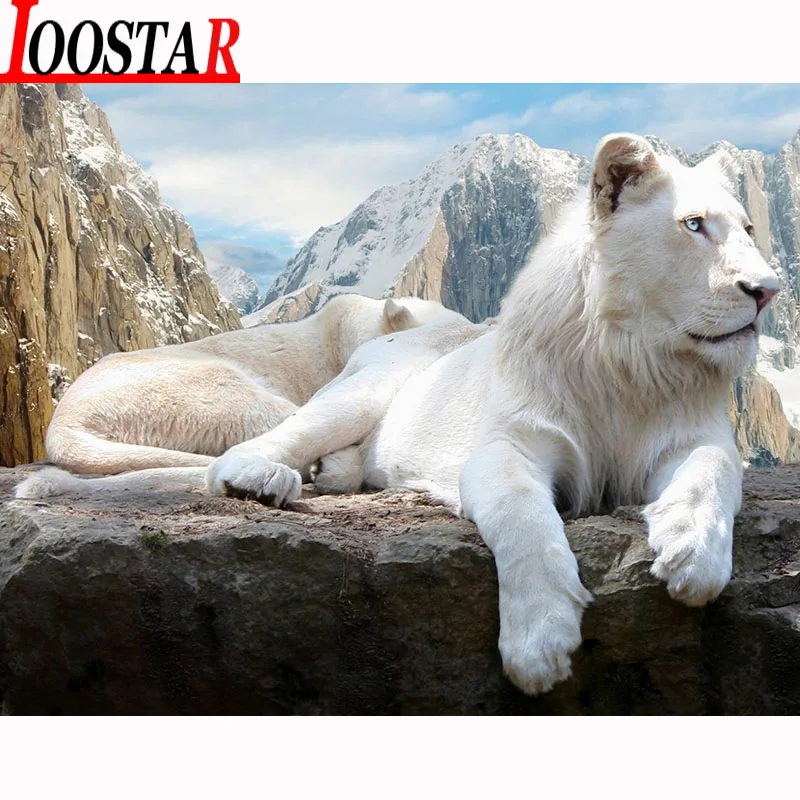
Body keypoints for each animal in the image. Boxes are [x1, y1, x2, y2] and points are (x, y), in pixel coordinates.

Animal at [16, 134, 780, 697]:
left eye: (748, 228)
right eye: (693, 226)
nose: (768, 290)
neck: (635, 358)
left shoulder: (690, 439)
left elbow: (714, 473)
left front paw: (692, 554)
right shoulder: (510, 445)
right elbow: (526, 522)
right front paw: (539, 643)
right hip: (336, 395)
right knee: (244, 453)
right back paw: (270, 480)